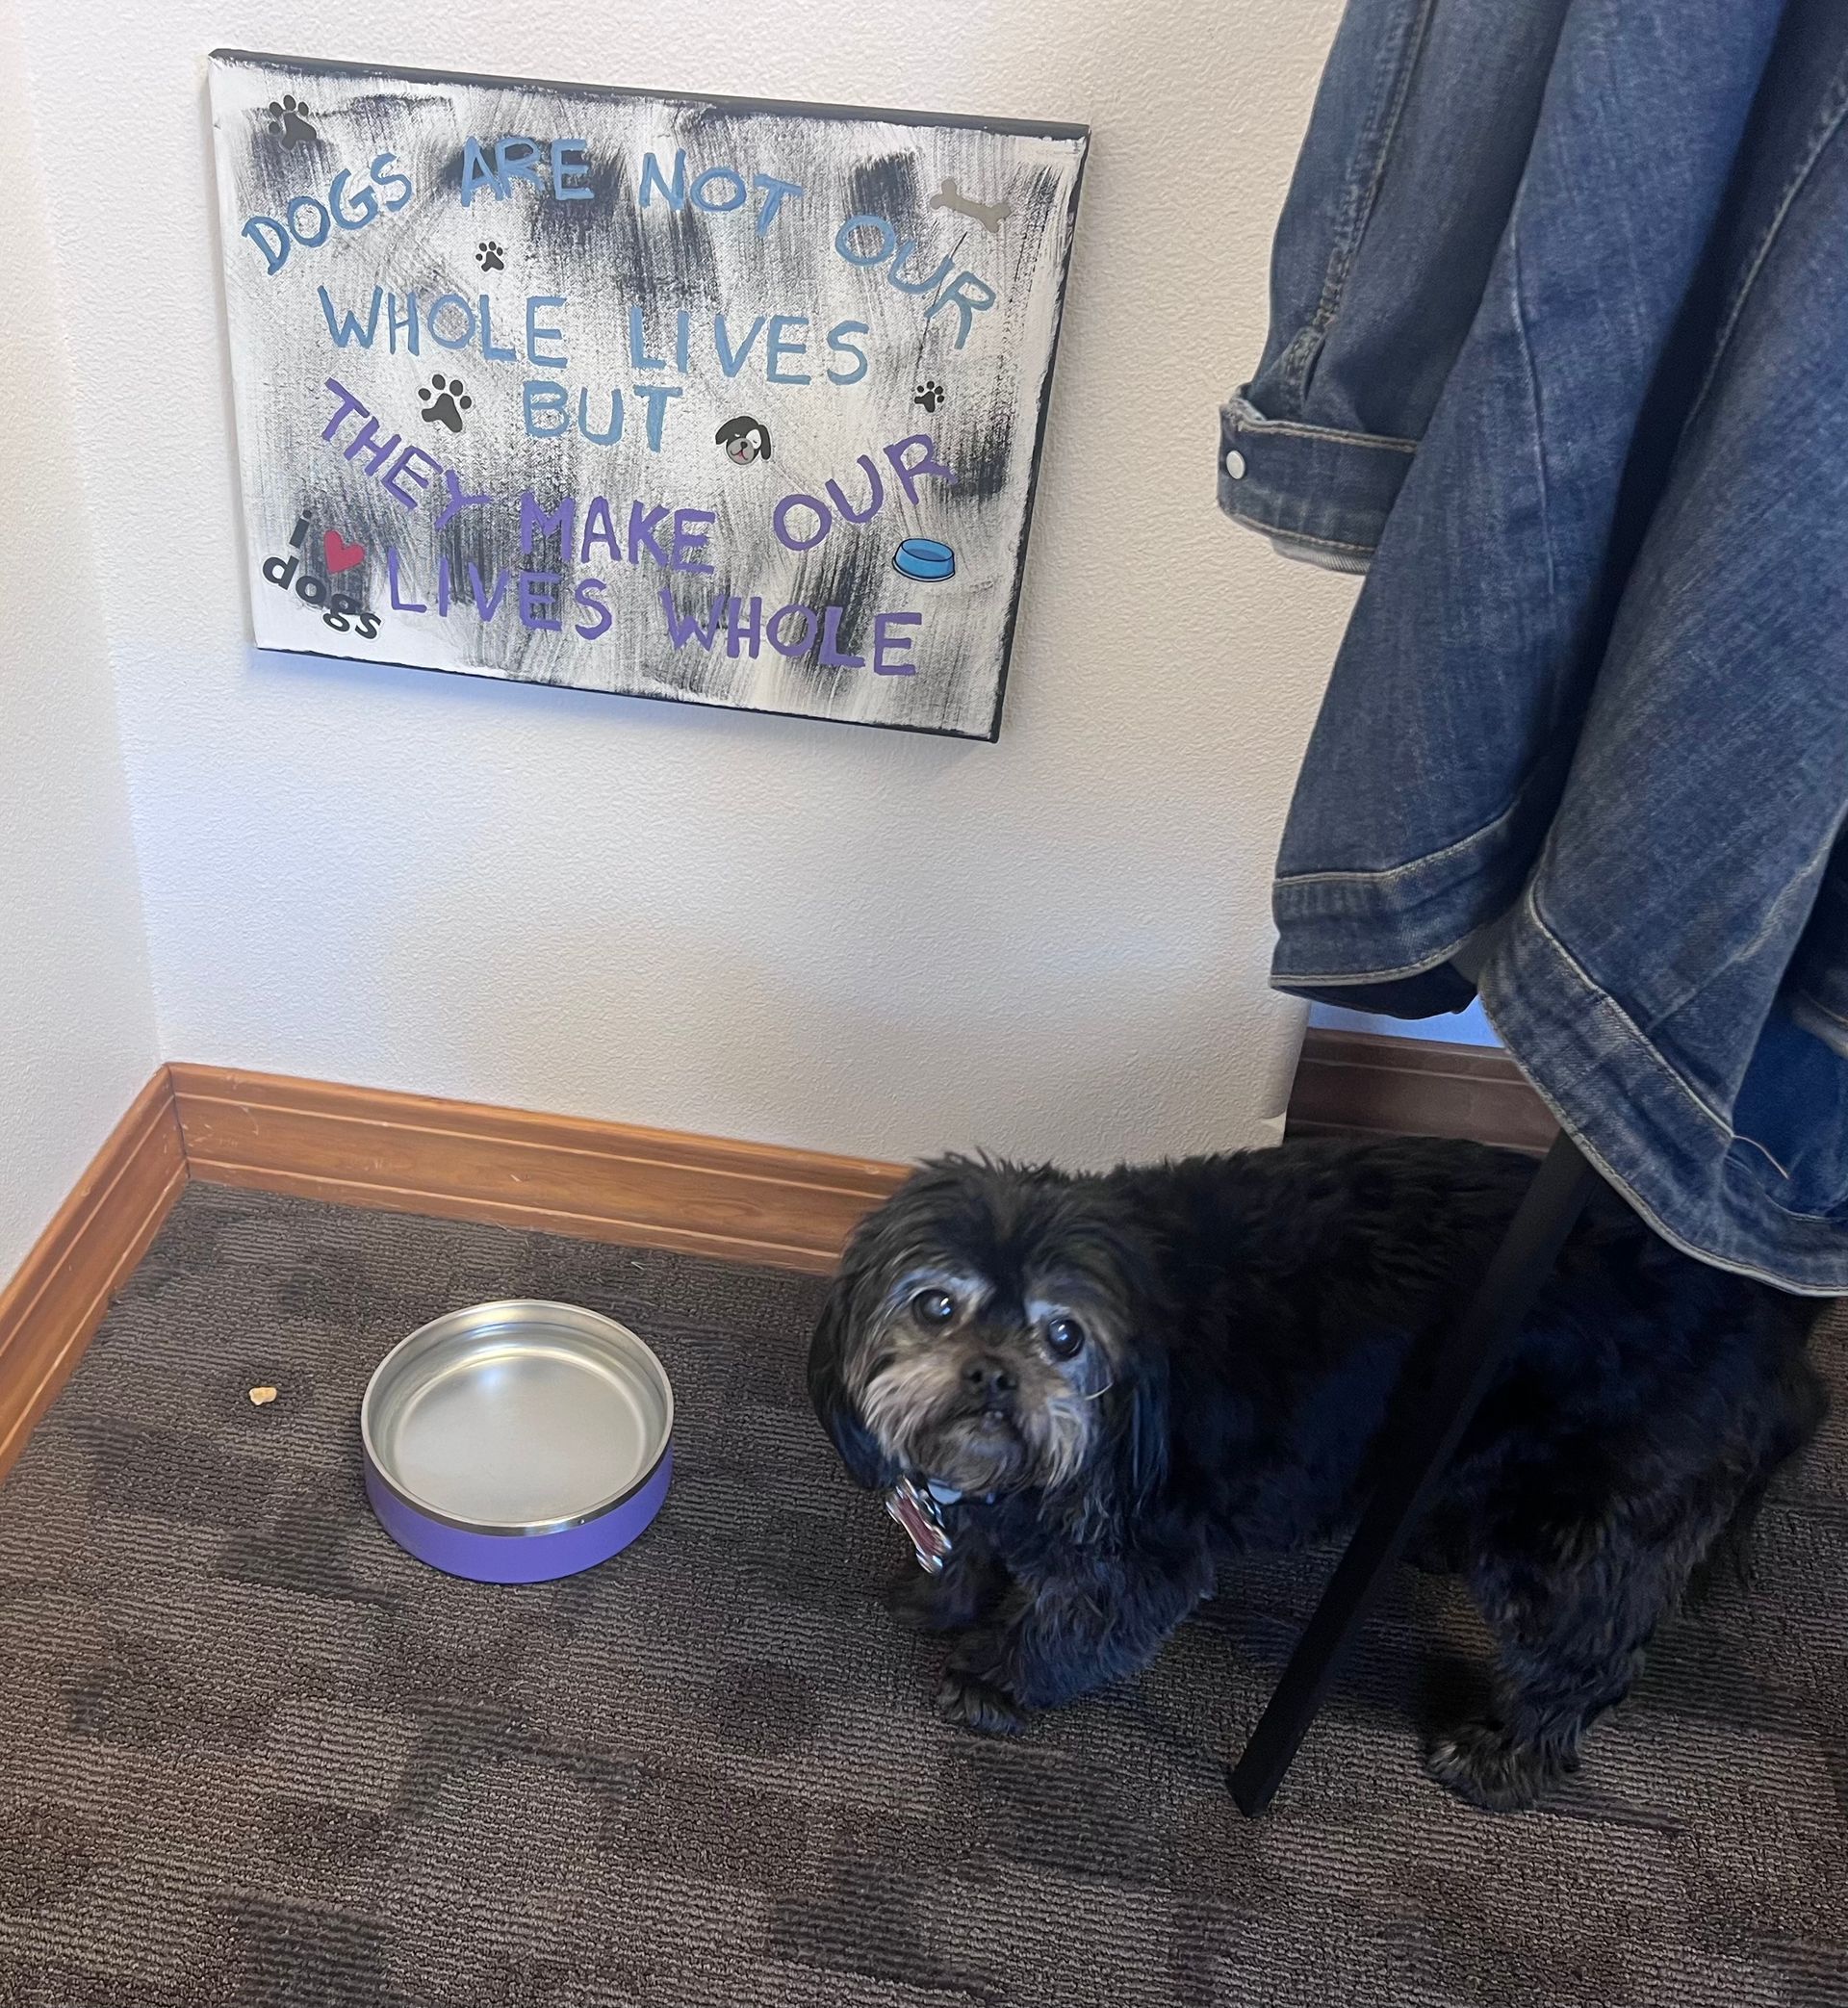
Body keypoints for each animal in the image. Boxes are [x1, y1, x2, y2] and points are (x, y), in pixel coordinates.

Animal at [803, 1140, 1815, 1815]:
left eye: (1064, 1335)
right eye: (937, 1305)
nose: (991, 1376)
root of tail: (1763, 1299)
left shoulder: (1142, 1553)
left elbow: (1074, 1626)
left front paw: (999, 1682)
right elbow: (969, 1546)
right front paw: (943, 1595)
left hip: (1567, 1519)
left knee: (1586, 1650)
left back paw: (1505, 1761)